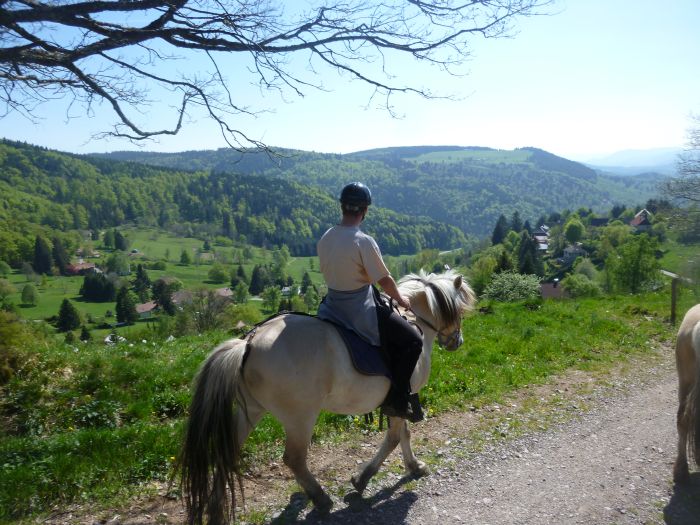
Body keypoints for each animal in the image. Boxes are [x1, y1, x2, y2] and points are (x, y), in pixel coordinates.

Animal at [179, 270, 476, 524]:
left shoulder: (398, 402)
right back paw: (321, 499)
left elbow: (403, 435)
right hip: (300, 417)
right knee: (294, 458)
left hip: (251, 409)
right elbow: (394, 438)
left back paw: (216, 510)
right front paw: (363, 479)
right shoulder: (403, 396)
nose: (457, 341)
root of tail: (249, 341)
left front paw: (413, 466)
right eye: (460, 311)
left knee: (227, 453)